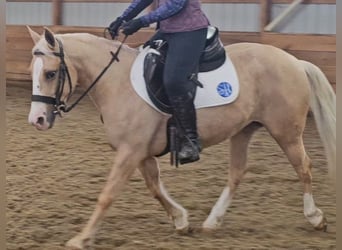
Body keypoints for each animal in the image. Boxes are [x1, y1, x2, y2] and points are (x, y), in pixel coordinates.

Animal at [27, 26, 336, 249]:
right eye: (33, 72)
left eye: (51, 73)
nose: (37, 120)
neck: (117, 82)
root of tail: (294, 60)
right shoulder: (141, 153)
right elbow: (155, 187)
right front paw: (181, 220)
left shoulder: (130, 151)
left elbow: (108, 194)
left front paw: (82, 238)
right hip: (243, 131)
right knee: (237, 173)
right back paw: (212, 222)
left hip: (286, 131)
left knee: (303, 167)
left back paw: (315, 217)